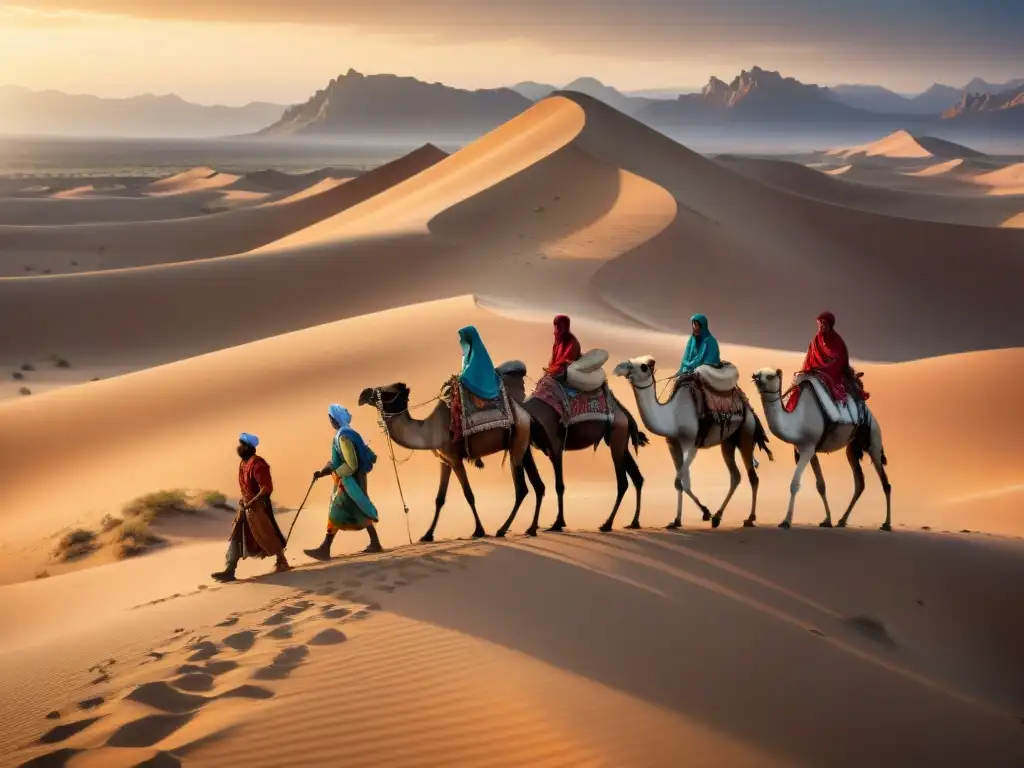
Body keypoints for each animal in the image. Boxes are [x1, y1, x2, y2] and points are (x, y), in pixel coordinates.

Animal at [356, 364, 540, 540]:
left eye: (386, 392)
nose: (362, 395)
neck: (429, 431)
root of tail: (526, 414)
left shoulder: (455, 460)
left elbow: (469, 494)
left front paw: (479, 530)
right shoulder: (445, 461)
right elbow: (439, 499)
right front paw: (427, 535)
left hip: (517, 445)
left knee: (522, 489)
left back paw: (502, 529)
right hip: (523, 445)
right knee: (538, 485)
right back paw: (531, 528)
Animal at [499, 364, 651, 536]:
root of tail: (625, 413)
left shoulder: (555, 445)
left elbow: (559, 485)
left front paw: (558, 523)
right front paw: (551, 524)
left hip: (617, 435)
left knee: (623, 482)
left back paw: (607, 524)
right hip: (618, 439)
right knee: (637, 477)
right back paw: (634, 522)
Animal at [610, 356, 770, 528]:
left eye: (643, 367)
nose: (620, 368)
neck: (672, 416)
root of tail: (749, 408)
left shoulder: (692, 444)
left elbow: (680, 481)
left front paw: (700, 513)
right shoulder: (673, 445)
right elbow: (682, 483)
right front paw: (680, 519)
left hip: (746, 433)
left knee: (752, 477)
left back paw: (750, 518)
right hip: (728, 442)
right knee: (736, 476)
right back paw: (717, 517)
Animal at [749, 370, 892, 532]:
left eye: (771, 376)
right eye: (757, 374)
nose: (757, 379)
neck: (797, 421)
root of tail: (872, 417)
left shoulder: (807, 448)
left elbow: (794, 484)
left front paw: (786, 521)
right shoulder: (810, 450)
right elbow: (821, 485)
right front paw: (827, 520)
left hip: (874, 441)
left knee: (885, 483)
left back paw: (886, 524)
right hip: (852, 448)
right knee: (859, 483)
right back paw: (842, 520)